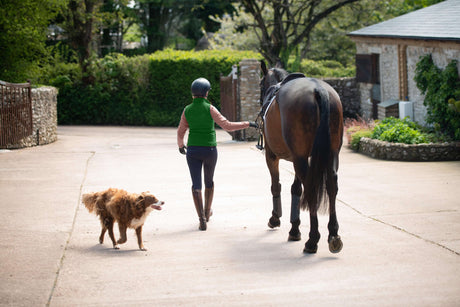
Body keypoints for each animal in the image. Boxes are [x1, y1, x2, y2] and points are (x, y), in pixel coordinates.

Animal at [260, 61, 344, 254]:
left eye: (260, 84)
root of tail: (319, 90)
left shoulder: (272, 155)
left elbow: (276, 186)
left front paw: (275, 218)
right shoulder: (299, 157)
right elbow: (296, 189)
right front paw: (294, 228)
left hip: (299, 159)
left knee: (311, 189)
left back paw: (312, 240)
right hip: (330, 154)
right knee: (332, 186)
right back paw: (333, 234)